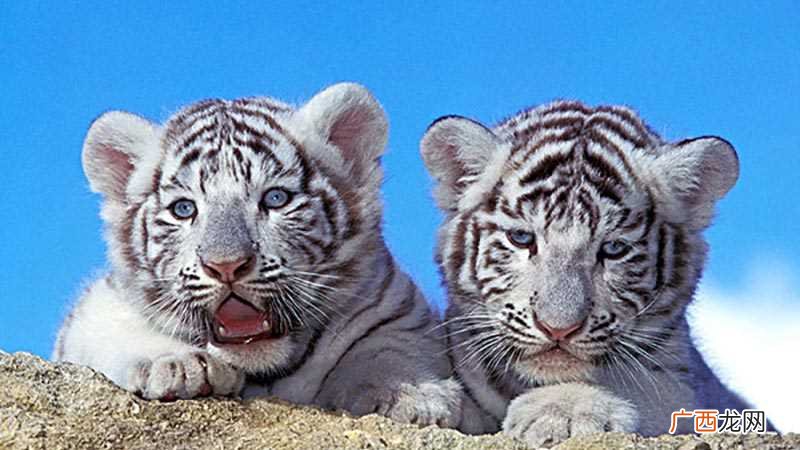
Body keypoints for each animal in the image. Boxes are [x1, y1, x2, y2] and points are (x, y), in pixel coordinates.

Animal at [53, 82, 461, 426]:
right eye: (184, 209)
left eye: (276, 198)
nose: (226, 266)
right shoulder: (96, 307)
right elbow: (125, 327)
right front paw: (179, 364)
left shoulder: (394, 307)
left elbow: (388, 349)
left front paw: (411, 394)